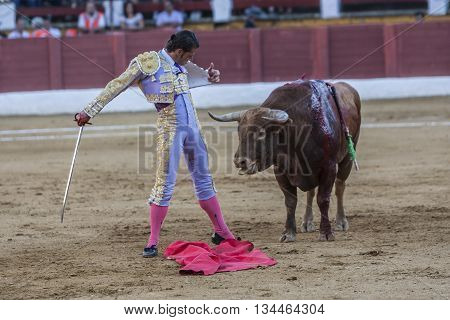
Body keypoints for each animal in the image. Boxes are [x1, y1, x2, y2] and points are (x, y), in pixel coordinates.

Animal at [210, 80, 362, 242]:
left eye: (261, 133)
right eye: (239, 131)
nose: (240, 161)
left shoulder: (329, 167)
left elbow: (323, 199)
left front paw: (326, 233)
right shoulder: (281, 171)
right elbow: (290, 201)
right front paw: (288, 233)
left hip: (348, 157)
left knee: (340, 187)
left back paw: (341, 221)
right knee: (311, 192)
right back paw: (307, 222)